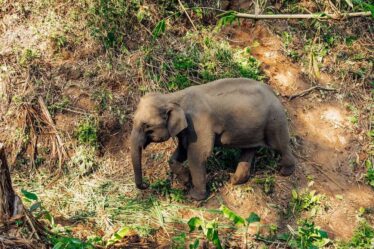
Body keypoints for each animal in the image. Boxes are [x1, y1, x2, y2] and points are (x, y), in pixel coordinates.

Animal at [130, 78, 296, 200]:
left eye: (146, 126)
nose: (146, 185)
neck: (172, 96)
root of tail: (274, 92)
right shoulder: (186, 128)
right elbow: (182, 150)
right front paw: (186, 180)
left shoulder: (198, 123)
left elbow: (197, 155)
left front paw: (195, 196)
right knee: (249, 149)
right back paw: (235, 181)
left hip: (274, 120)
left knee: (280, 145)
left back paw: (285, 171)